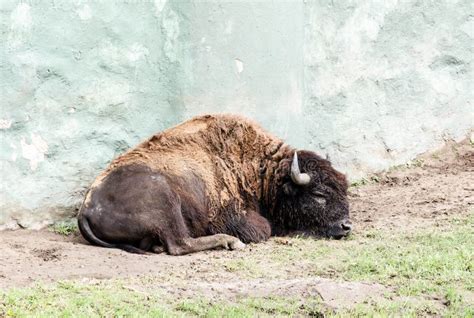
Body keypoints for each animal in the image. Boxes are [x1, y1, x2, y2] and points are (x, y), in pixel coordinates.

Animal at [78, 114, 350, 256]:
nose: (347, 226)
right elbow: (262, 229)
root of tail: (85, 209)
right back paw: (229, 242)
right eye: (318, 195)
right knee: (179, 244)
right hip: (165, 199)